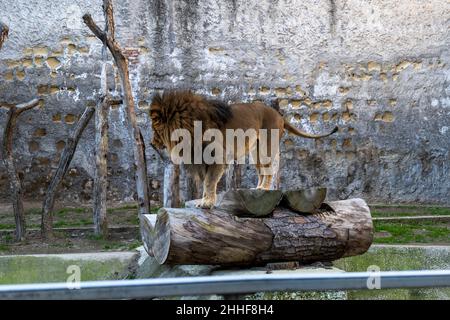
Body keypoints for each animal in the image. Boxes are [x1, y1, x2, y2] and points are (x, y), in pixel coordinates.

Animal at [149, 90, 336, 210]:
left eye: (155, 129)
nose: (151, 143)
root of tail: (279, 115)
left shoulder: (218, 157)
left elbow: (209, 182)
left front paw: (207, 203)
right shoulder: (200, 161)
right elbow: (205, 183)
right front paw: (204, 201)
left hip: (266, 147)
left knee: (270, 169)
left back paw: (264, 189)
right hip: (255, 151)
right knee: (262, 170)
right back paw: (257, 188)